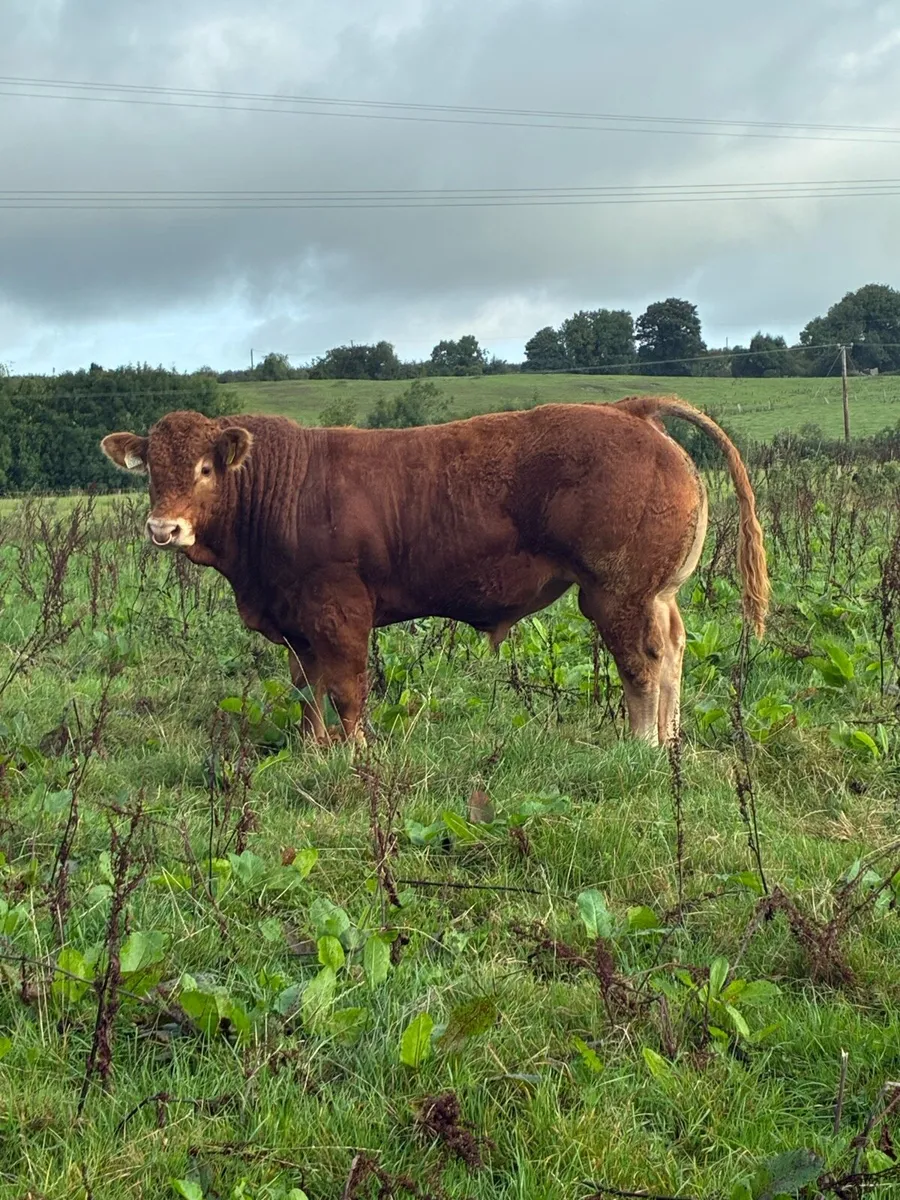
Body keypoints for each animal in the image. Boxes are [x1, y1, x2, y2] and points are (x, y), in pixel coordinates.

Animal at [100, 396, 768, 747]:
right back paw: (672, 742)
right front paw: (315, 751)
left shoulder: (340, 610)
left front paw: (354, 756)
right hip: (657, 594)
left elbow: (347, 690)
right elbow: (308, 691)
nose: (163, 529)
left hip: (616, 594)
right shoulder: (296, 624)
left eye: (205, 469)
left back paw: (643, 747)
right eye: (151, 469)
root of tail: (630, 408)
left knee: (642, 666)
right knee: (673, 651)